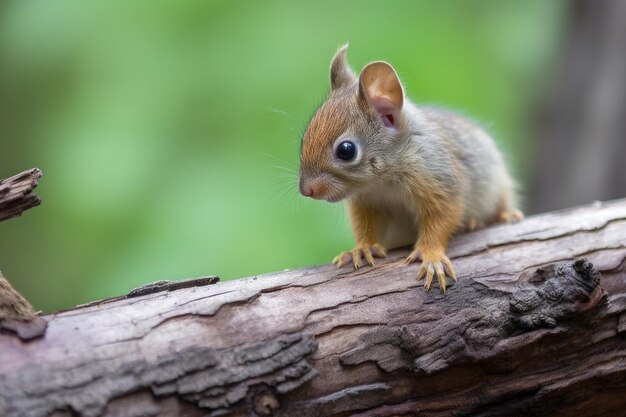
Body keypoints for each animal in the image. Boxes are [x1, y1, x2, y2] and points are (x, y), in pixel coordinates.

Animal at [298, 45, 520, 290]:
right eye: (304, 138)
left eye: (346, 150)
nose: (306, 190)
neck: (384, 180)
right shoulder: (367, 203)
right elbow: (366, 226)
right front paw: (362, 248)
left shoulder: (440, 180)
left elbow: (441, 220)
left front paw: (431, 256)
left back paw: (500, 216)